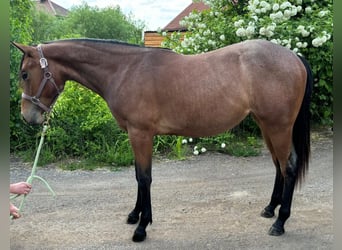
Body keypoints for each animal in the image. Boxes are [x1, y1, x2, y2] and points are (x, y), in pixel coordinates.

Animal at [12, 39, 312, 242]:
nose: (28, 116)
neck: (125, 70)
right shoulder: (135, 135)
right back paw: (270, 209)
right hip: (267, 125)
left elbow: (145, 178)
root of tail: (294, 57)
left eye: (25, 74)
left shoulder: (141, 134)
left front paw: (141, 227)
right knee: (278, 165)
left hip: (278, 126)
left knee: (288, 166)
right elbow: (137, 175)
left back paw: (280, 222)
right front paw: (134, 215)